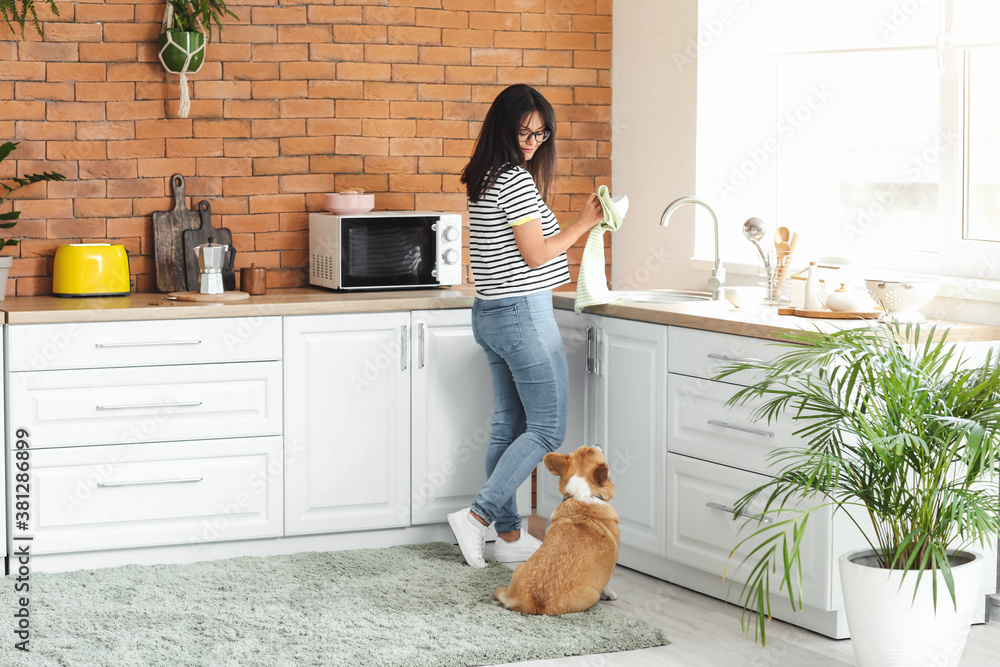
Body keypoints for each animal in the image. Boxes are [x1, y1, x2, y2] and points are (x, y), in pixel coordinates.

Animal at [492, 446, 616, 620]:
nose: (598, 443)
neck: (583, 494)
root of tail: (533, 602)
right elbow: (608, 583)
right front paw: (610, 594)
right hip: (592, 595)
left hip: (519, 568)